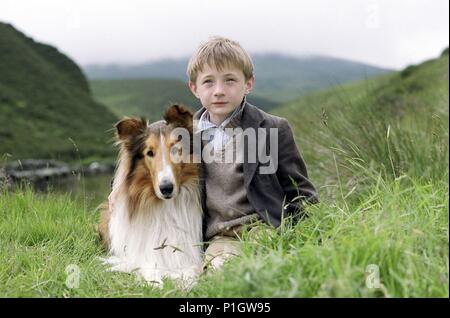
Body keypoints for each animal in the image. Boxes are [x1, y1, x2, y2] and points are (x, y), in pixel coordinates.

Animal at [99, 105, 204, 286]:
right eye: (149, 153)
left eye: (175, 149)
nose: (166, 188)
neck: (165, 207)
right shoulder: (138, 257)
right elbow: (150, 268)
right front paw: (157, 283)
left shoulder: (187, 255)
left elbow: (188, 270)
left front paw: (187, 281)